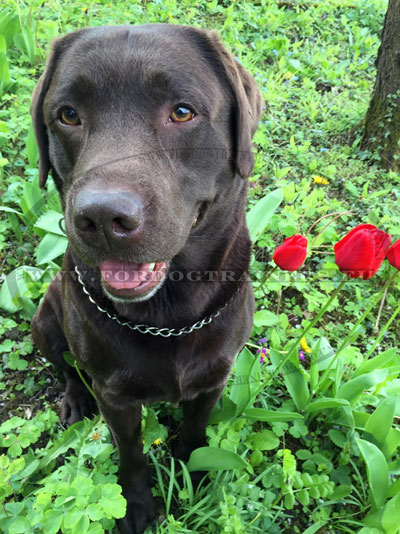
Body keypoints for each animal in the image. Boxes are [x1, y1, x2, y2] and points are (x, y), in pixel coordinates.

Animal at [30, 24, 262, 534]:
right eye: (68, 115)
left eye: (182, 112)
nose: (101, 216)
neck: (169, 315)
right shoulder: (114, 395)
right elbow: (131, 452)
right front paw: (136, 506)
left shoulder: (215, 377)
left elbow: (195, 431)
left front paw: (194, 474)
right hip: (46, 318)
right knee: (66, 366)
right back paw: (74, 400)